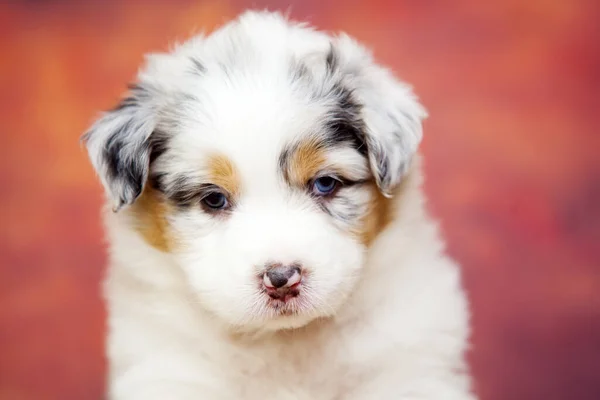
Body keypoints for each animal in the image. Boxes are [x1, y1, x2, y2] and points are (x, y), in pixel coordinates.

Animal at [82, 10, 476, 400]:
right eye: (213, 198)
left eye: (325, 183)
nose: (282, 279)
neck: (286, 339)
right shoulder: (171, 374)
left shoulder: (408, 366)